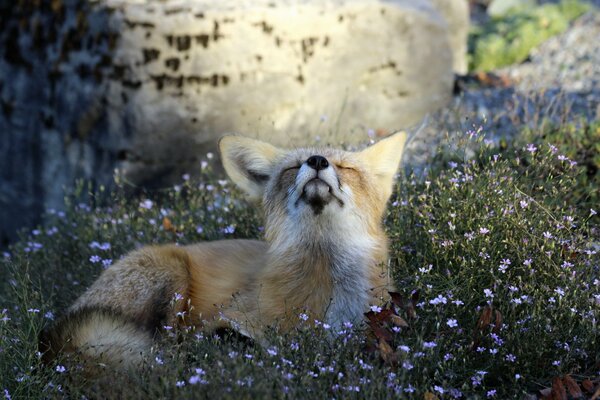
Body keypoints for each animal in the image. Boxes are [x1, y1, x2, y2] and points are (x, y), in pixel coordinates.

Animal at [39, 130, 410, 366]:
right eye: (294, 167)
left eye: (346, 168)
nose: (317, 161)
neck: (327, 284)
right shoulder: (235, 314)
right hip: (172, 274)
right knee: (167, 346)